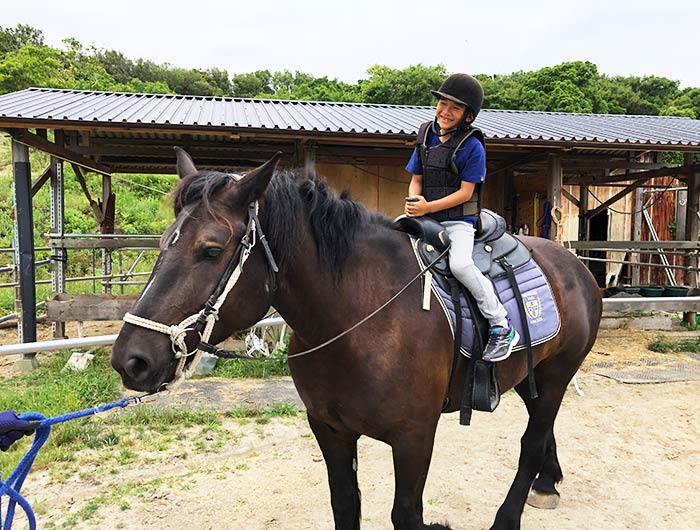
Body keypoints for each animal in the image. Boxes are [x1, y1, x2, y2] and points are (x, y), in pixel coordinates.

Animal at [110, 148, 600, 528]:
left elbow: (406, 515)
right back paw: (547, 482)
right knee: (542, 428)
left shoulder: (415, 437)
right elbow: (345, 505)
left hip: (557, 375)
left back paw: (510, 514)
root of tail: (575, 266)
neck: (360, 320)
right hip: (531, 376)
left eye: (211, 251)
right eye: (163, 244)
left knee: (532, 442)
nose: (131, 359)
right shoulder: (330, 429)